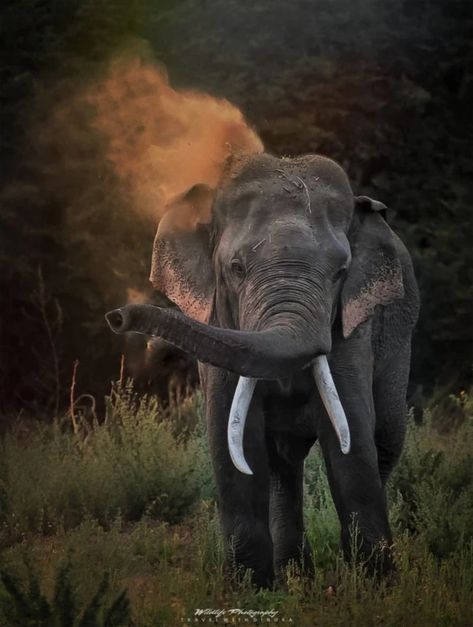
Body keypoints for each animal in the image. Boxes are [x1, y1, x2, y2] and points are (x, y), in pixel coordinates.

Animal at [105, 153, 418, 588]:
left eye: (340, 272)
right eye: (236, 268)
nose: (116, 317)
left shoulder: (353, 327)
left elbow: (351, 438)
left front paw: (375, 589)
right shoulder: (219, 319)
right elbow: (232, 438)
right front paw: (250, 590)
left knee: (385, 439)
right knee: (282, 464)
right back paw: (295, 578)